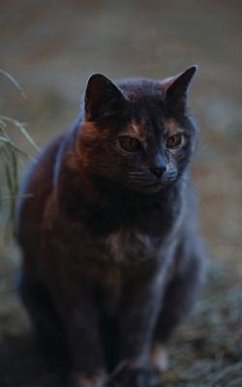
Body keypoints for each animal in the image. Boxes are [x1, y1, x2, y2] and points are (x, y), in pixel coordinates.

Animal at [15, 67, 205, 387]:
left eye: (174, 140)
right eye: (129, 142)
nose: (159, 168)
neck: (127, 210)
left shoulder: (151, 273)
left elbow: (139, 325)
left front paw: (135, 372)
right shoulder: (69, 275)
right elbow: (83, 328)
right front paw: (90, 375)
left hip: (188, 278)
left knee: (161, 330)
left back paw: (154, 359)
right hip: (30, 286)